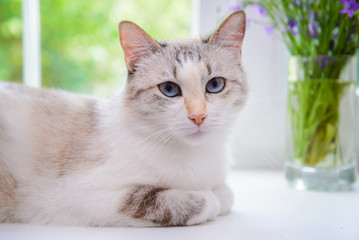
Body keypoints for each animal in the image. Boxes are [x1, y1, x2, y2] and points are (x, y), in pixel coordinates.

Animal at [0, 9, 248, 227]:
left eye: (215, 85)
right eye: (169, 89)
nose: (198, 116)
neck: (197, 156)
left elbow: (228, 193)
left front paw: (219, 192)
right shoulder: (83, 195)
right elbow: (178, 199)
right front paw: (211, 198)